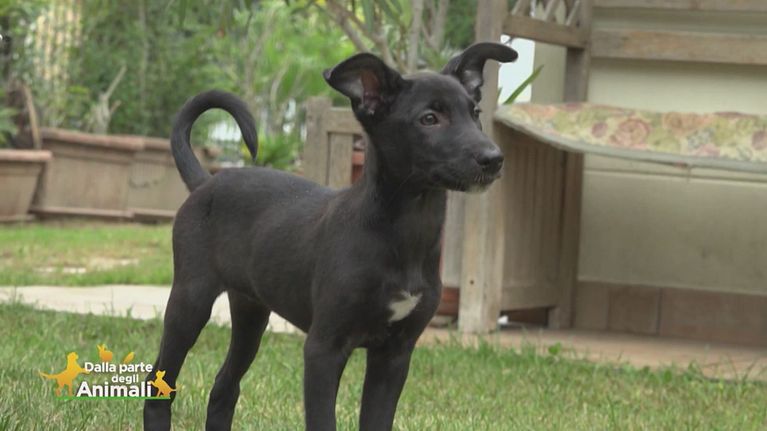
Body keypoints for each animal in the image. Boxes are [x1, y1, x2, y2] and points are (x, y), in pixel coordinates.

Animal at [144, 42, 517, 431]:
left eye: (475, 113)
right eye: (429, 119)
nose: (494, 159)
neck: (402, 232)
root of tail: (206, 182)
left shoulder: (395, 354)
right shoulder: (324, 348)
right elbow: (323, 417)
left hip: (250, 311)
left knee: (224, 386)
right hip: (190, 300)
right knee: (159, 381)